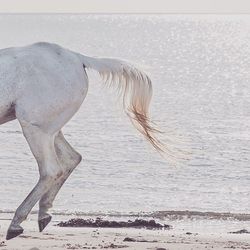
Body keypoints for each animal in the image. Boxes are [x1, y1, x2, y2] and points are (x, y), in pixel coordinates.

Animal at [0, 41, 163, 240]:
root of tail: (78, 58)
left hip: (36, 129)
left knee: (51, 170)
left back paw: (16, 223)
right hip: (51, 130)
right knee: (71, 158)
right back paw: (44, 213)